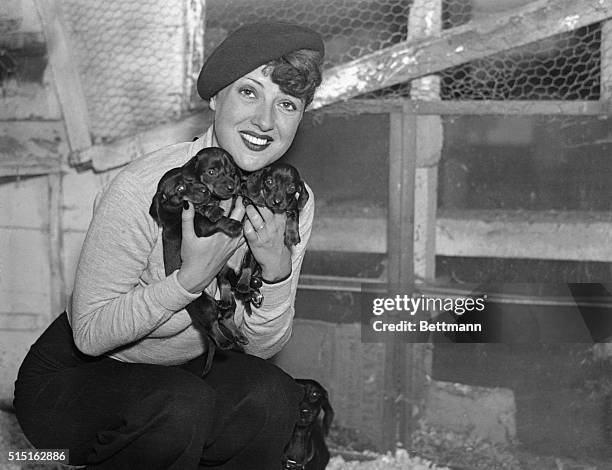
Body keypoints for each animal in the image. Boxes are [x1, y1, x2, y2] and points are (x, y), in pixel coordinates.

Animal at [149, 147, 247, 368]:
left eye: (233, 173)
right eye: (211, 172)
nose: (231, 186)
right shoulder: (200, 227)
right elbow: (214, 220)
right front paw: (229, 221)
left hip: (223, 298)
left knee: (226, 315)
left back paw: (238, 335)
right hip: (204, 305)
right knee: (212, 327)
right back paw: (226, 342)